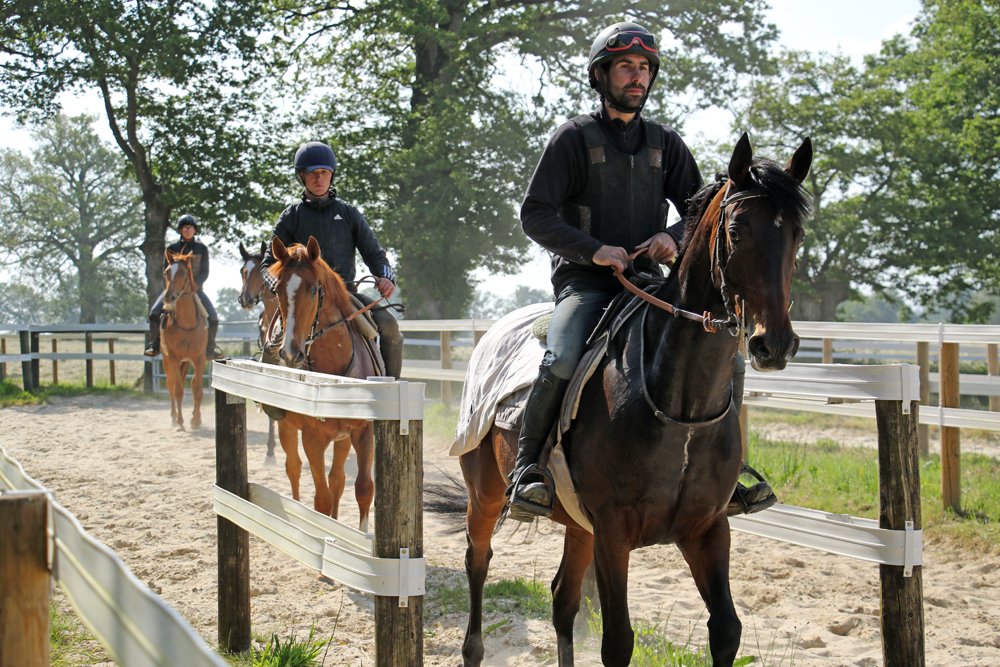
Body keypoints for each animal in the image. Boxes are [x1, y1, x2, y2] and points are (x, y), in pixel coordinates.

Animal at [160, 250, 209, 430]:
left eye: (182, 272)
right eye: (166, 272)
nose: (168, 296)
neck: (186, 324)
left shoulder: (200, 359)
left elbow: (197, 389)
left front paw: (196, 420)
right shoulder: (173, 358)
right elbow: (178, 390)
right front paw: (180, 421)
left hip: (186, 361)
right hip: (166, 359)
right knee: (170, 385)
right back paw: (174, 417)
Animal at [264, 235, 379, 530]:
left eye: (315, 289)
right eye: (277, 290)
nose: (290, 353)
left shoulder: (362, 432)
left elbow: (363, 488)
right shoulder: (312, 438)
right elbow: (321, 500)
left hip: (342, 439)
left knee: (337, 479)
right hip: (287, 428)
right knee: (293, 469)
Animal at [456, 133, 812, 666]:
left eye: (795, 235)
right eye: (736, 230)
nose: (775, 344)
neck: (681, 411)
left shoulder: (708, 529)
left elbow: (727, 629)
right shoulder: (613, 532)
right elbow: (618, 640)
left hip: (576, 524)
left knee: (562, 599)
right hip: (486, 492)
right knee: (478, 561)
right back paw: (474, 646)